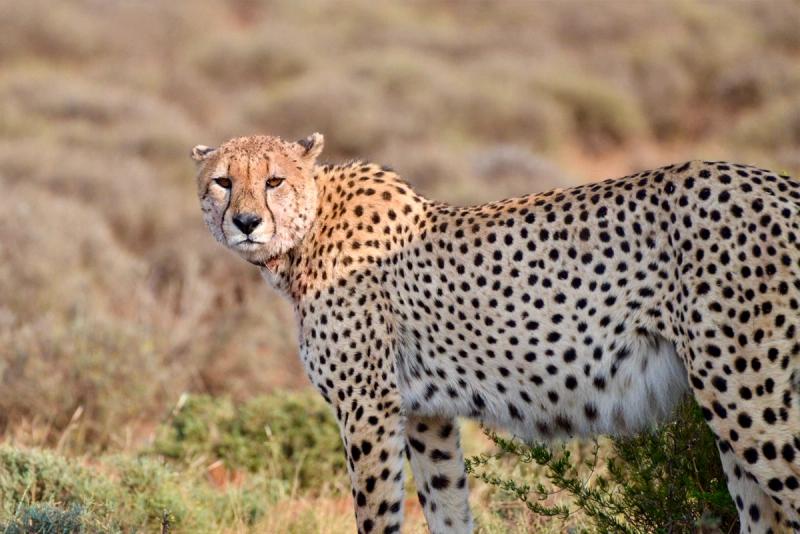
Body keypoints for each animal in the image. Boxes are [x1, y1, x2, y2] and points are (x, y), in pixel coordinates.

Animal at [191, 133, 800, 533]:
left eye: (274, 180)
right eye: (223, 182)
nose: (246, 222)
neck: (309, 229)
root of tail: (777, 183)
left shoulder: (367, 408)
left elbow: (377, 514)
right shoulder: (426, 413)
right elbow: (447, 506)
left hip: (751, 396)